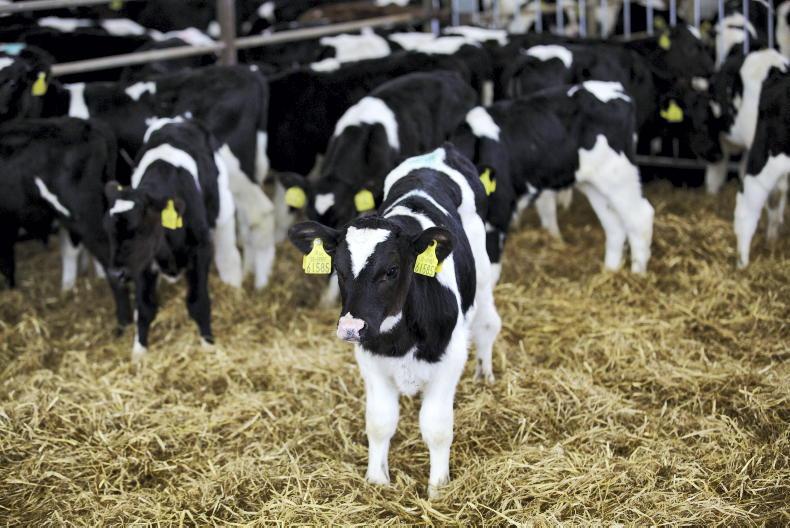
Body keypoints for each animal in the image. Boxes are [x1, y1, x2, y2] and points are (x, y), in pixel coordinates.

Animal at [104, 118, 241, 361]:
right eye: (108, 231)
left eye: (140, 230)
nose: (115, 273)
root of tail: (177, 120)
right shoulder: (143, 263)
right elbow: (145, 307)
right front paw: (139, 351)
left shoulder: (201, 249)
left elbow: (198, 301)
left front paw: (208, 344)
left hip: (223, 204)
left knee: (229, 252)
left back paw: (234, 284)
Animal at [288, 144, 501, 498]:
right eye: (339, 270)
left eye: (391, 270)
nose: (351, 328)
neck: (400, 338)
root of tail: (440, 151)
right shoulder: (370, 361)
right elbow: (379, 422)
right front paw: (377, 480)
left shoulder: (450, 360)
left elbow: (436, 427)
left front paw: (438, 487)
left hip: (482, 275)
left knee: (487, 324)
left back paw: (485, 373)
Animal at [453, 81, 655, 278]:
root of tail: (617, 90)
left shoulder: (498, 212)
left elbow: (489, 267)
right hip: (594, 184)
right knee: (614, 225)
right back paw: (610, 270)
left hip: (619, 174)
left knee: (640, 216)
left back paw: (638, 275)